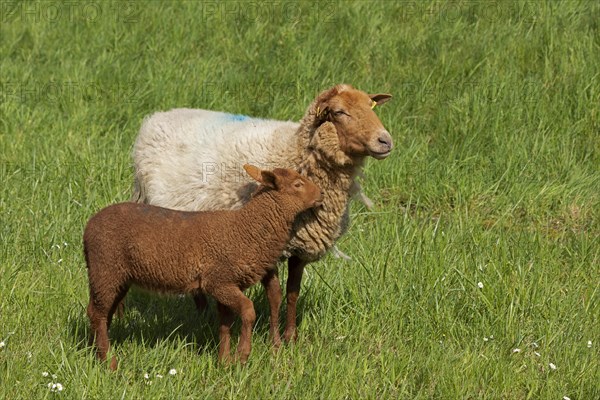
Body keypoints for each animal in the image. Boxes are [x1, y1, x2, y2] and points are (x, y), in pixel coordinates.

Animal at [84, 164, 324, 370]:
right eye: (297, 184)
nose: (321, 194)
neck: (246, 230)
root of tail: (87, 230)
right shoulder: (218, 281)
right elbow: (248, 311)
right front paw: (242, 355)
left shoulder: (226, 284)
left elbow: (225, 323)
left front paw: (224, 361)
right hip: (105, 269)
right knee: (97, 313)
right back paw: (108, 361)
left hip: (116, 276)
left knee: (102, 312)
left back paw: (96, 352)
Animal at [132, 83, 394, 344]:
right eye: (339, 112)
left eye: (370, 106)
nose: (385, 141)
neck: (293, 152)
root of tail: (159, 116)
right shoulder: (263, 247)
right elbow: (275, 296)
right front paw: (275, 342)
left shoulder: (300, 248)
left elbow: (292, 293)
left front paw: (291, 337)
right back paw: (203, 317)